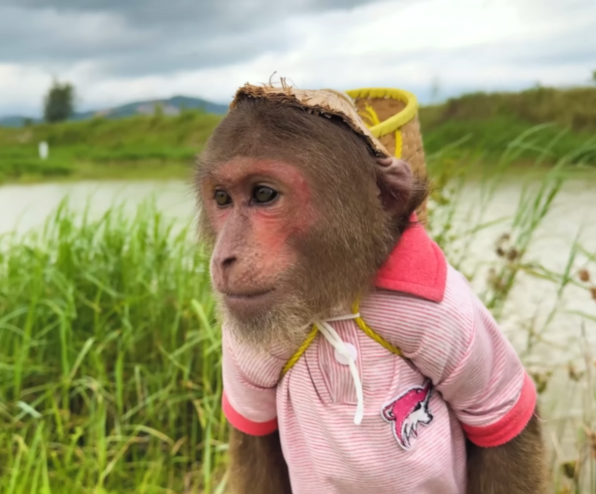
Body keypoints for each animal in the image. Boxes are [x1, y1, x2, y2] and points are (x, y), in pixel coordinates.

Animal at [195, 85, 548, 494]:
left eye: (264, 194)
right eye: (222, 198)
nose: (224, 258)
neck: (333, 303)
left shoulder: (456, 321)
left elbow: (502, 433)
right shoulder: (239, 354)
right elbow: (256, 438)